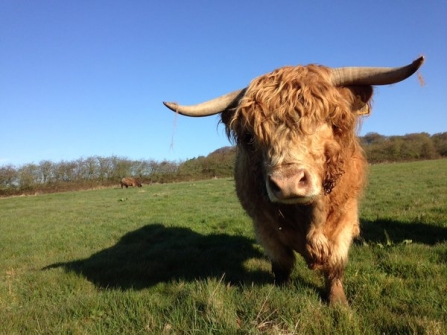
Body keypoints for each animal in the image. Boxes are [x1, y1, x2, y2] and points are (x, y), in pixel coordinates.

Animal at [163, 57, 426, 304]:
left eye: (326, 120)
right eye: (250, 136)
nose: (287, 183)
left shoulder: (345, 216)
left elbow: (335, 263)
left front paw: (338, 302)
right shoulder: (264, 225)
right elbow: (282, 262)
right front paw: (281, 290)